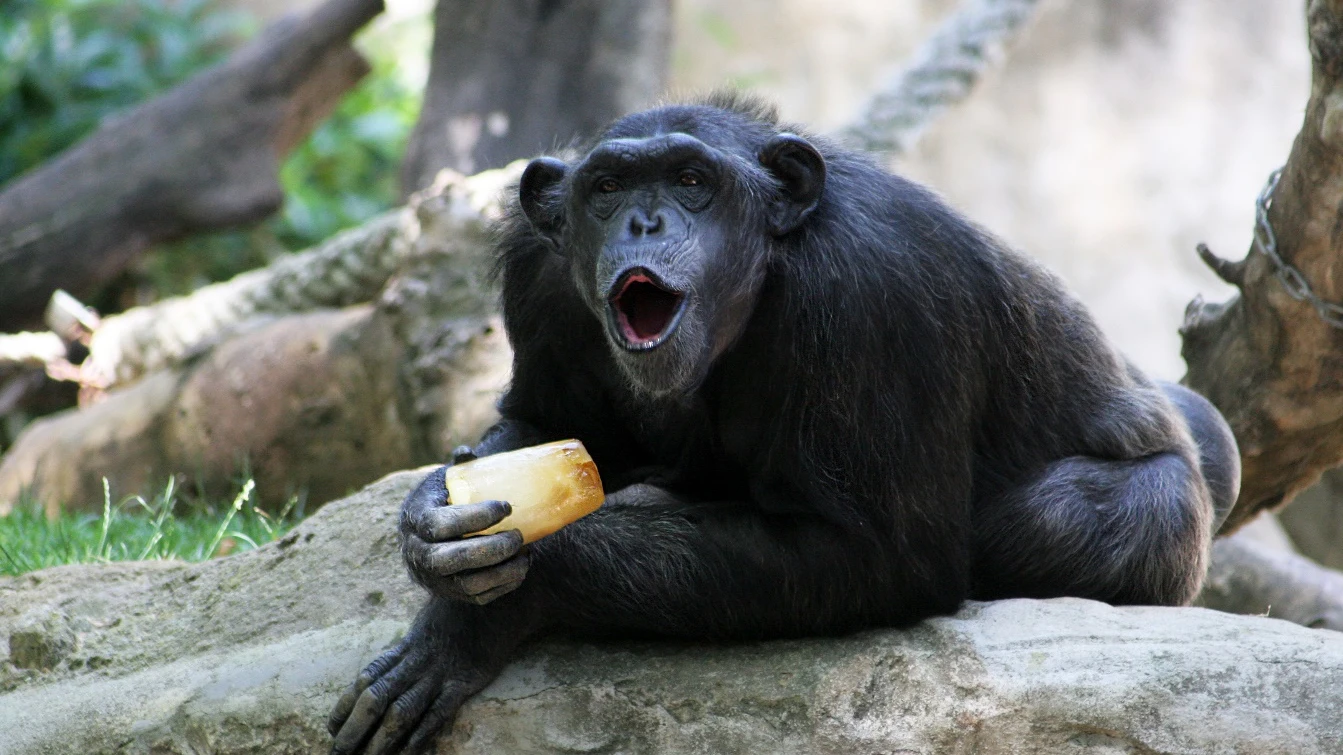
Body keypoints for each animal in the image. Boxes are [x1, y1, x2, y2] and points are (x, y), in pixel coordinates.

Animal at [325, 95, 1235, 752]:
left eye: (692, 180)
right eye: (607, 189)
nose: (645, 222)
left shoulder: (875, 288)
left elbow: (879, 555)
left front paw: (492, 608)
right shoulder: (535, 273)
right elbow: (541, 420)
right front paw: (430, 528)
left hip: (1170, 529)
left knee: (1076, 516)